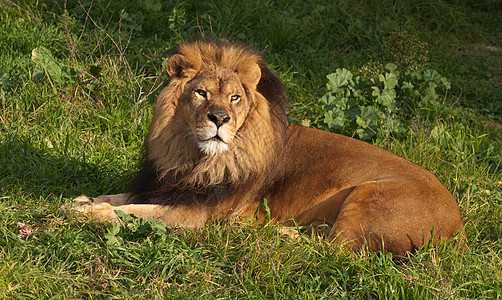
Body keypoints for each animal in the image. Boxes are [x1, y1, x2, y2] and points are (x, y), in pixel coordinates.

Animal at [72, 39, 464, 255]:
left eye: (234, 98)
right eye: (201, 92)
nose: (219, 118)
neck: (191, 155)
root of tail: (457, 227)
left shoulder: (194, 214)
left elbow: (135, 212)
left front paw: (87, 213)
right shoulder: (167, 185)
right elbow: (122, 198)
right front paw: (83, 201)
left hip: (369, 194)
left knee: (335, 251)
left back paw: (262, 232)